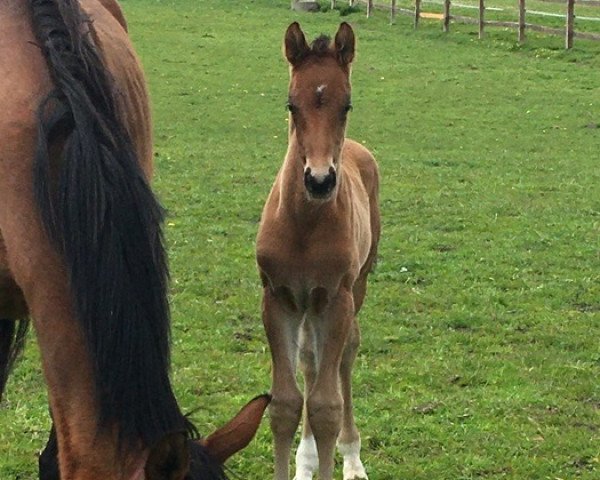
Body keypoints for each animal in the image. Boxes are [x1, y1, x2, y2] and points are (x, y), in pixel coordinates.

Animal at [256, 21, 380, 480]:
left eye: (347, 105)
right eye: (291, 105)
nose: (320, 180)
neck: (304, 226)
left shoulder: (335, 297)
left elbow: (327, 406)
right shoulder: (278, 297)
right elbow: (284, 404)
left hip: (355, 288)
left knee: (344, 356)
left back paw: (352, 458)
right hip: (307, 305)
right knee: (310, 360)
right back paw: (306, 460)